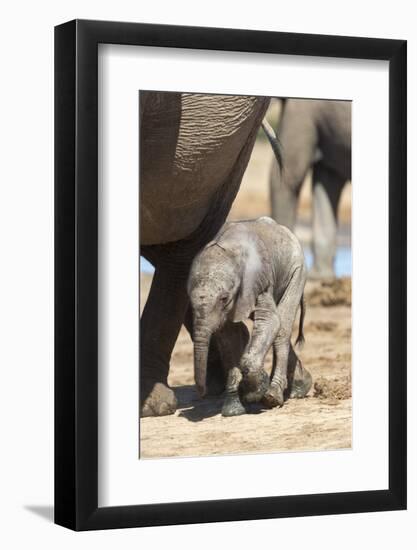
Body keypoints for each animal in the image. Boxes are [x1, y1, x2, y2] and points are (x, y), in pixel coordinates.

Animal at [187, 218, 310, 416]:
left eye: (224, 298)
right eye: (189, 300)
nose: (203, 394)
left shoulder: (258, 280)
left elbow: (270, 321)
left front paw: (255, 392)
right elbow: (229, 336)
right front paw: (233, 410)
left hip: (297, 271)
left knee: (282, 328)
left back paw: (273, 396)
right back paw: (300, 387)